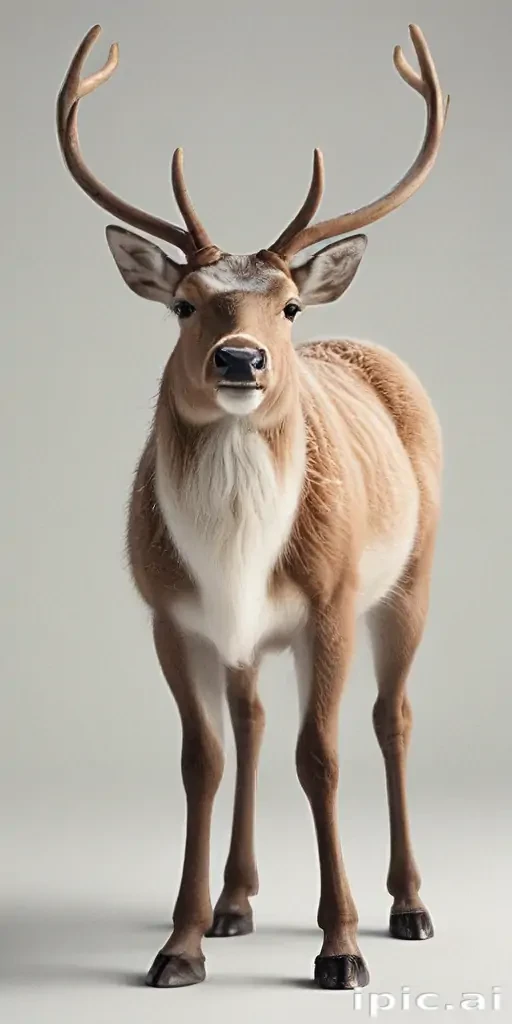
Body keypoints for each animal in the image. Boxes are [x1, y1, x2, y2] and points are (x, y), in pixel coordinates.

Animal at [56, 22, 448, 990]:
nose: (241, 359)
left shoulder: (332, 600)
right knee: (254, 723)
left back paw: (409, 905)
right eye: (184, 304)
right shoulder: (171, 611)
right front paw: (180, 944)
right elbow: (203, 759)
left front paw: (341, 948)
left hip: (413, 574)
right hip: (250, 639)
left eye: (290, 305)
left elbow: (324, 756)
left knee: (391, 719)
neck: (235, 554)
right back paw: (236, 903)